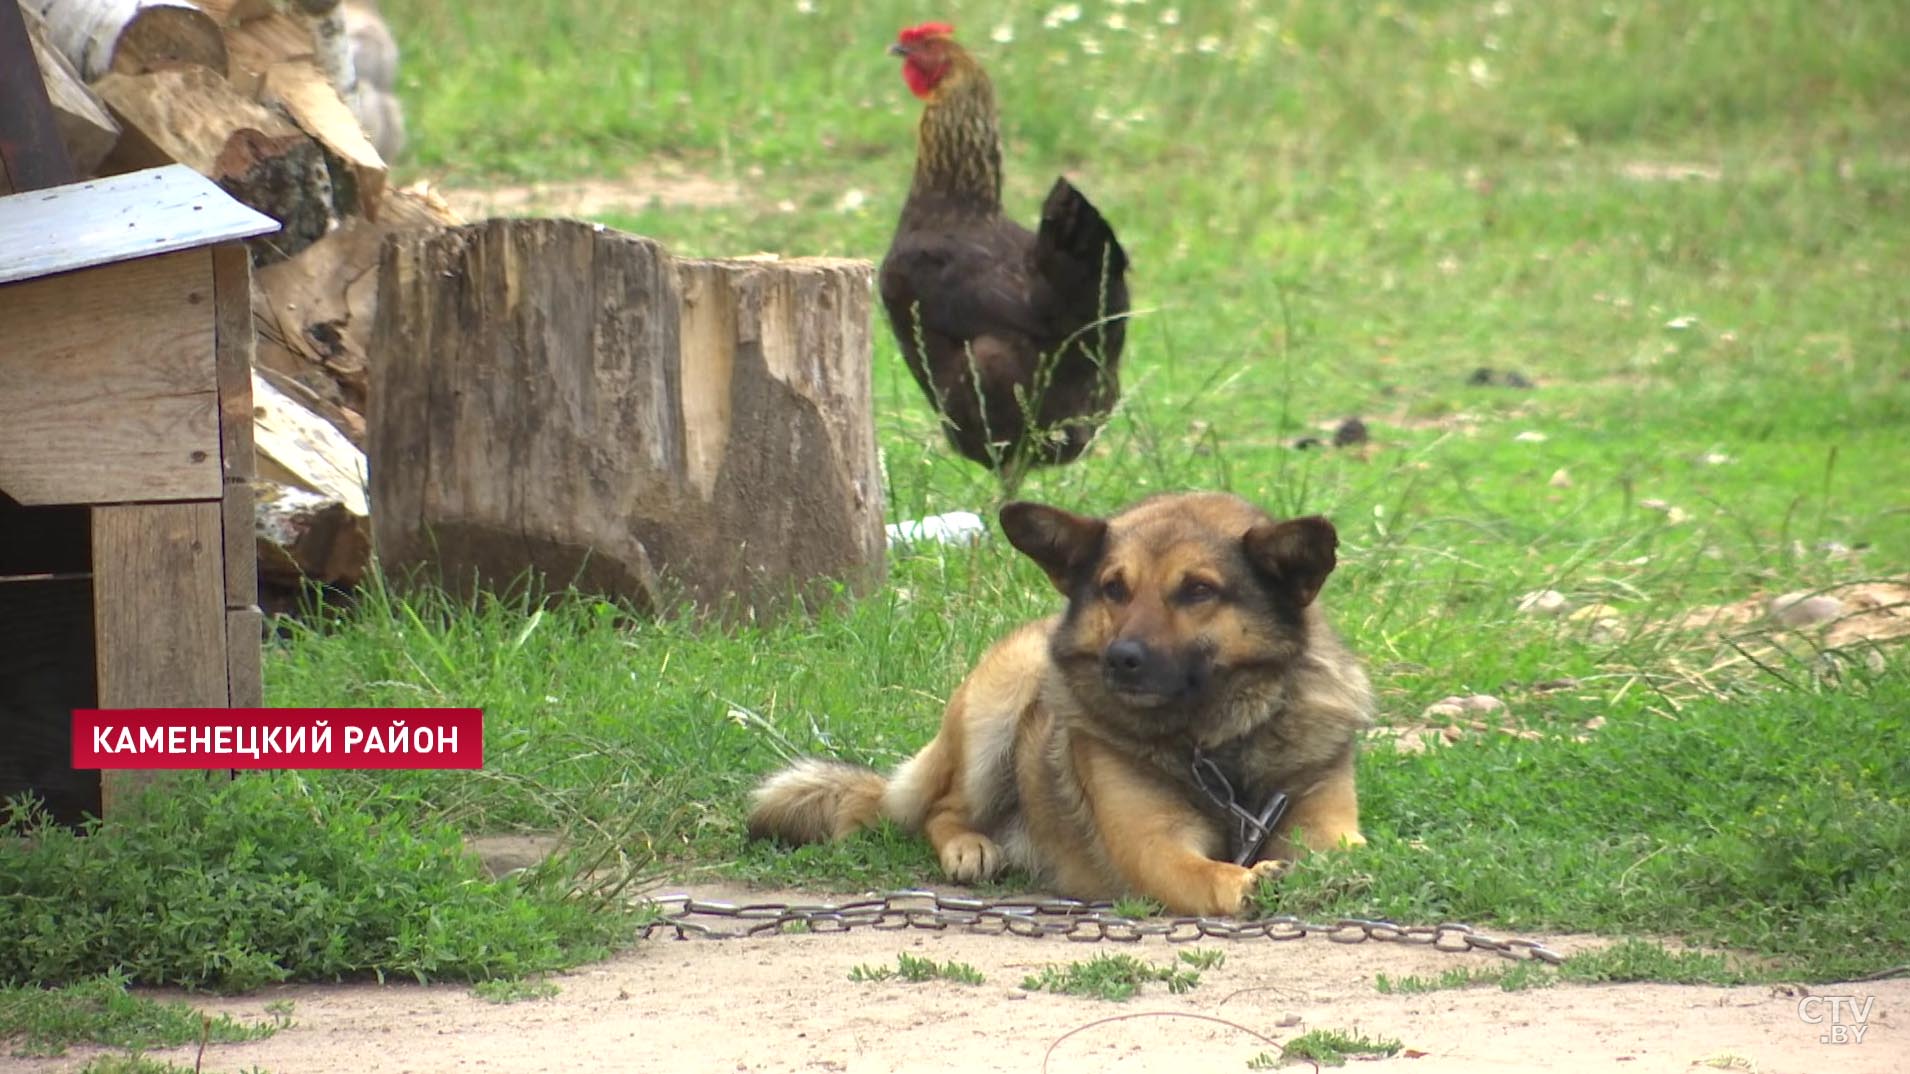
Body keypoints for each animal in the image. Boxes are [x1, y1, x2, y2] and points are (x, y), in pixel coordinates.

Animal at [744, 493, 1375, 909]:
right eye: (1113, 589)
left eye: (1199, 590)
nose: (1121, 659)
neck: (1218, 742)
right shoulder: (1156, 850)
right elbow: (1208, 877)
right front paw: (1249, 882)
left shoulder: (1328, 822)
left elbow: (1345, 853)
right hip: (1002, 696)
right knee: (940, 809)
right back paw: (969, 847)